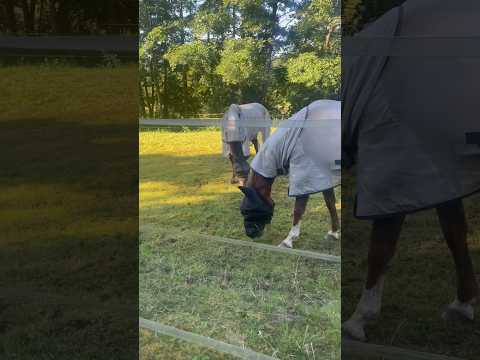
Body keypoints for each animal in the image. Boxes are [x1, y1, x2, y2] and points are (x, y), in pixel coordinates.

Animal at [238, 100, 340, 249]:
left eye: (248, 209)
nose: (250, 233)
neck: (296, 137)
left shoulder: (305, 176)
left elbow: (298, 210)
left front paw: (288, 240)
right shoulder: (322, 177)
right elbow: (330, 203)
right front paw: (334, 232)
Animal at [342, 0, 480, 342]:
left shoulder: (397, 169)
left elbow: (380, 248)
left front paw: (358, 320)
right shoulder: (437, 173)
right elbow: (455, 234)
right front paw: (462, 304)